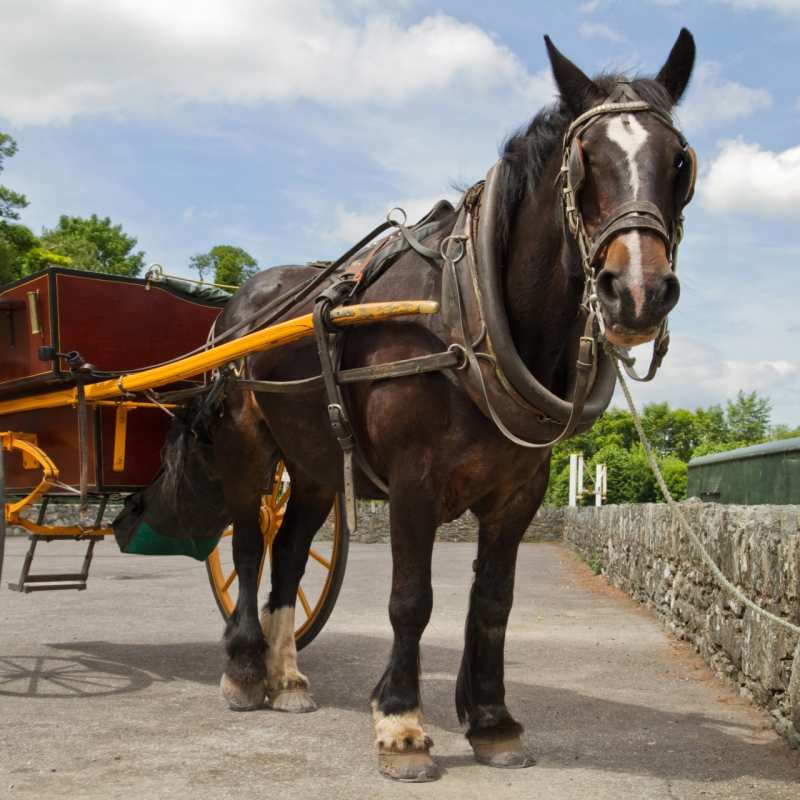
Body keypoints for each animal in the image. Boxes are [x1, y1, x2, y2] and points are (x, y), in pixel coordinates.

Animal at [123, 30, 696, 781]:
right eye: (585, 163)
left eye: (679, 163)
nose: (637, 292)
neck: (464, 313)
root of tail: (237, 307)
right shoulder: (413, 483)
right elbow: (411, 599)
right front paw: (400, 725)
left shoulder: (519, 492)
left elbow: (493, 602)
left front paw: (492, 722)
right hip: (249, 447)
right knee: (248, 548)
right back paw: (246, 671)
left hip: (314, 468)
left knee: (290, 553)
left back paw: (289, 679)